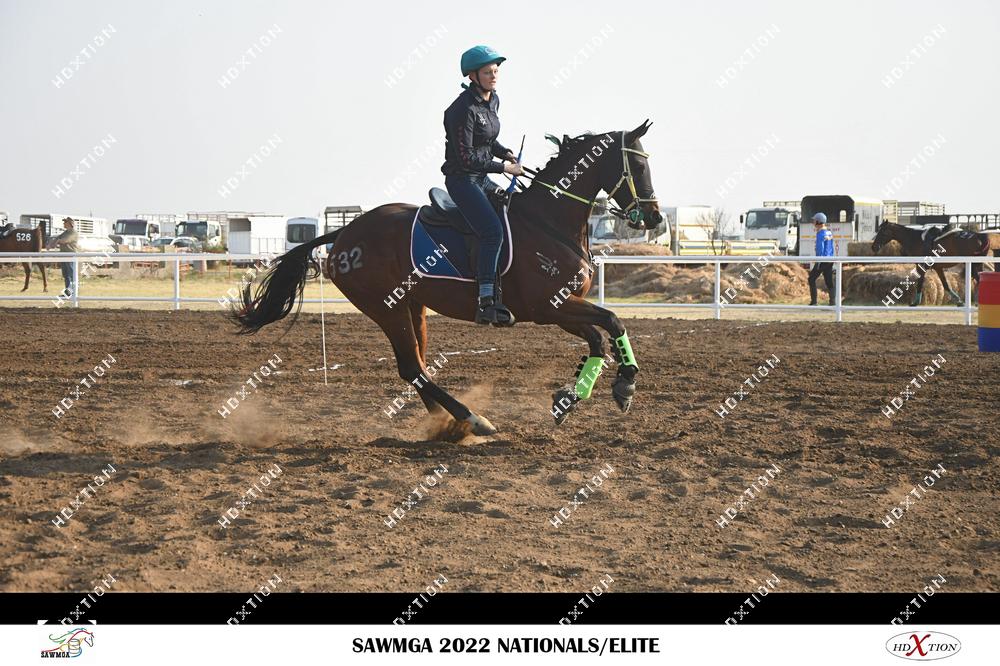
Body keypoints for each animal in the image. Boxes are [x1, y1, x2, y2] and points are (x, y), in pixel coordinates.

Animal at [230, 118, 660, 434]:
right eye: (639, 165)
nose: (654, 216)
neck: (548, 223)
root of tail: (344, 234)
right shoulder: (550, 307)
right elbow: (612, 321)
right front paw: (624, 384)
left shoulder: (560, 309)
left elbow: (598, 338)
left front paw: (574, 396)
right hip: (386, 309)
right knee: (411, 368)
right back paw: (471, 419)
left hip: (412, 306)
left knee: (417, 367)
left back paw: (445, 422)